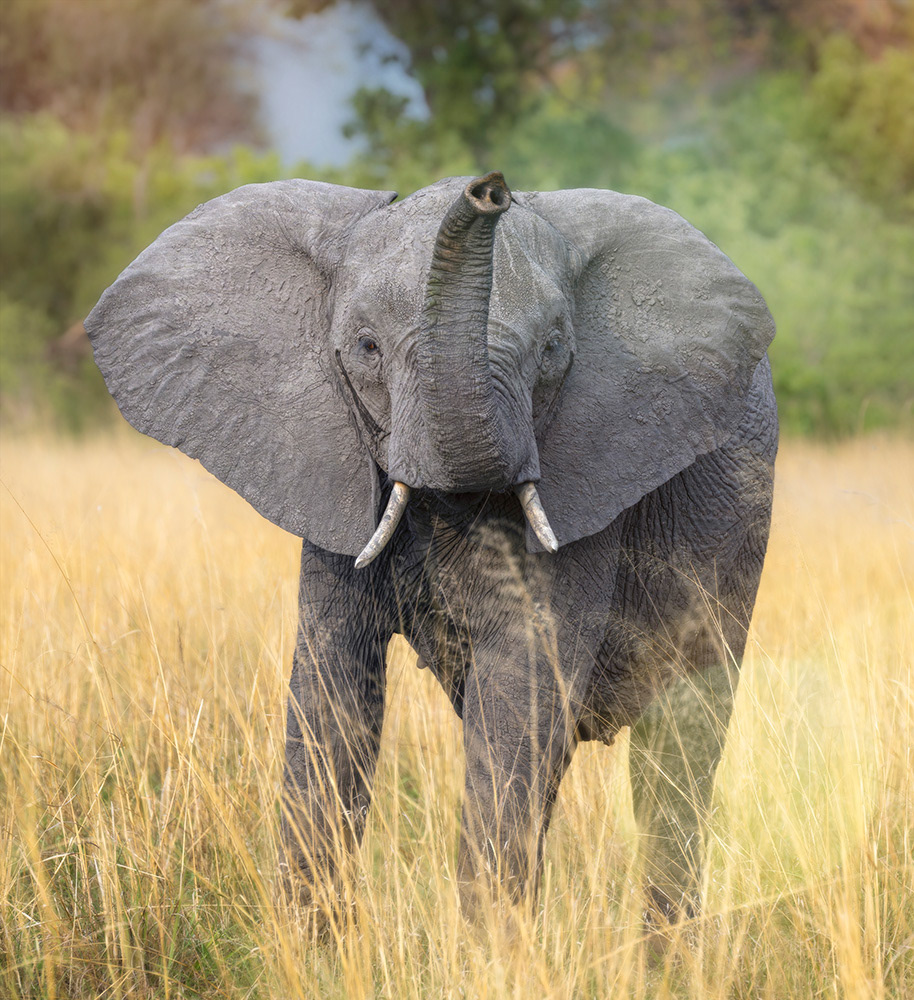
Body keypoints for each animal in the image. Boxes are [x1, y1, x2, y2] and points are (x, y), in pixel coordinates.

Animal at [86, 171, 777, 929]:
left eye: (553, 348)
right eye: (365, 347)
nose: (488, 189)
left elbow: (521, 691)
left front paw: (493, 947)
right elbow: (331, 701)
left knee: (675, 761)